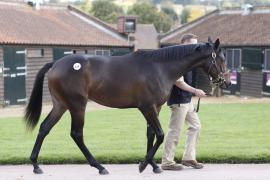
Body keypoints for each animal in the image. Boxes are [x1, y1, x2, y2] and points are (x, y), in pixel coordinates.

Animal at [24, 37, 230, 174]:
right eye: (222, 59)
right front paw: (143, 165)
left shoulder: (155, 107)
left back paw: (35, 165)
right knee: (76, 134)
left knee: (44, 128)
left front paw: (153, 165)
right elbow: (160, 134)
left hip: (61, 105)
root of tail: (55, 64)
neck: (160, 67)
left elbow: (151, 134)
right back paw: (99, 167)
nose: (226, 82)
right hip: (77, 105)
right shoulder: (147, 107)